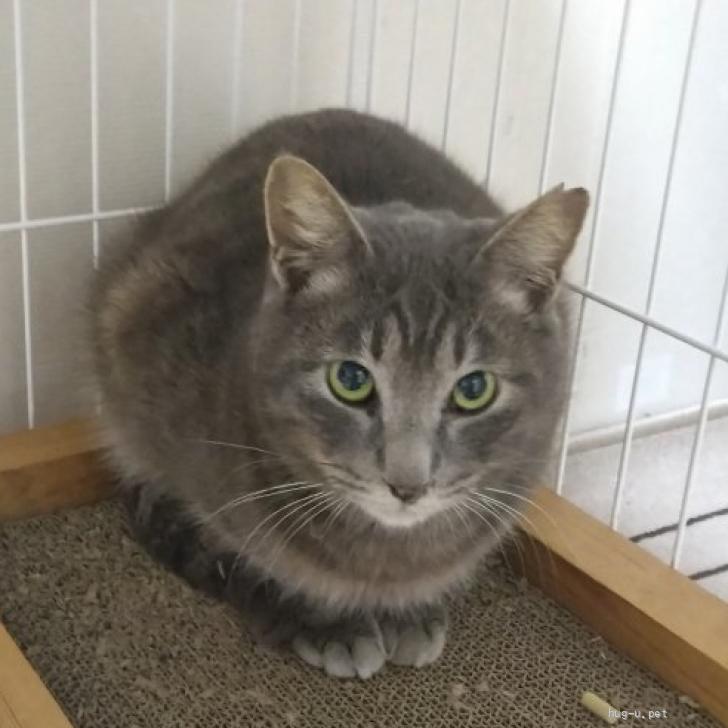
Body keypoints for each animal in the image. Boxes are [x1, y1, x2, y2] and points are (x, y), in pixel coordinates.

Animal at [89, 107, 588, 680]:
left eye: (473, 389)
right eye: (350, 380)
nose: (407, 485)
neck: (384, 558)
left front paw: (408, 610)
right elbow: (262, 558)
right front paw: (326, 621)